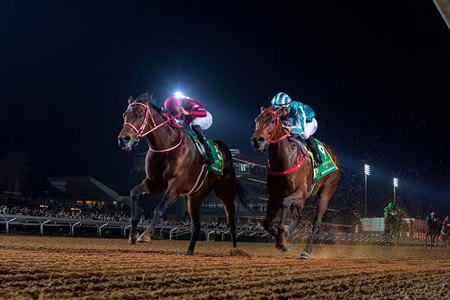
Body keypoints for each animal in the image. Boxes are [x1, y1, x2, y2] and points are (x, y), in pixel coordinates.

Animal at [116, 93, 246, 255]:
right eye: (124, 115)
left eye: (140, 114)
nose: (123, 140)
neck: (166, 146)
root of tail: (224, 149)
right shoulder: (155, 183)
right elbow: (134, 192)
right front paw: (133, 233)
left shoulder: (176, 185)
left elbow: (159, 208)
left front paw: (145, 234)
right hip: (194, 197)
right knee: (196, 225)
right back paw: (189, 251)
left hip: (225, 192)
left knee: (231, 221)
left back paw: (236, 251)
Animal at [251, 108, 340, 260]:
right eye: (257, 119)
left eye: (272, 120)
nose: (257, 140)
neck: (285, 160)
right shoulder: (274, 197)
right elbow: (267, 223)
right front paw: (283, 241)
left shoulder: (301, 194)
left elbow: (286, 202)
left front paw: (283, 237)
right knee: (297, 218)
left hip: (326, 192)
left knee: (317, 223)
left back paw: (306, 250)